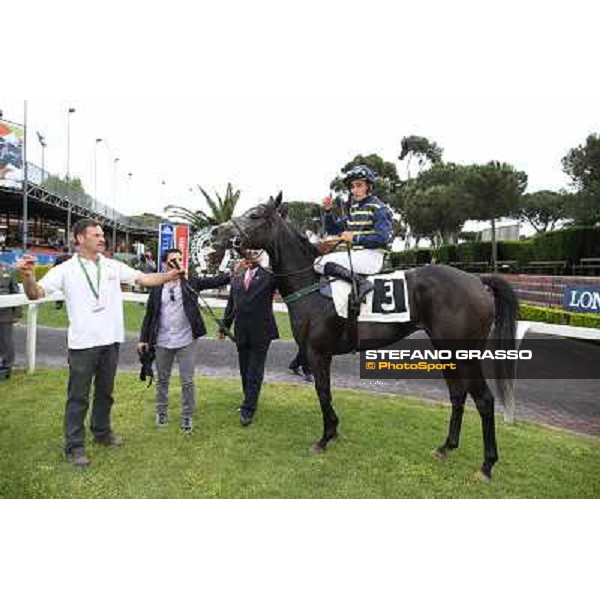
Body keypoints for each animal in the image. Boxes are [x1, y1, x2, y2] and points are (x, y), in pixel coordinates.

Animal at [213, 195, 516, 480]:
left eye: (255, 214)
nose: (217, 230)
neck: (311, 286)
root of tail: (477, 280)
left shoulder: (317, 352)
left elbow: (323, 391)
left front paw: (325, 437)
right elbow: (325, 391)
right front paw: (333, 432)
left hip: (465, 354)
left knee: (484, 400)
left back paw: (487, 465)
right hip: (446, 352)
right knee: (457, 394)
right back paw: (446, 447)